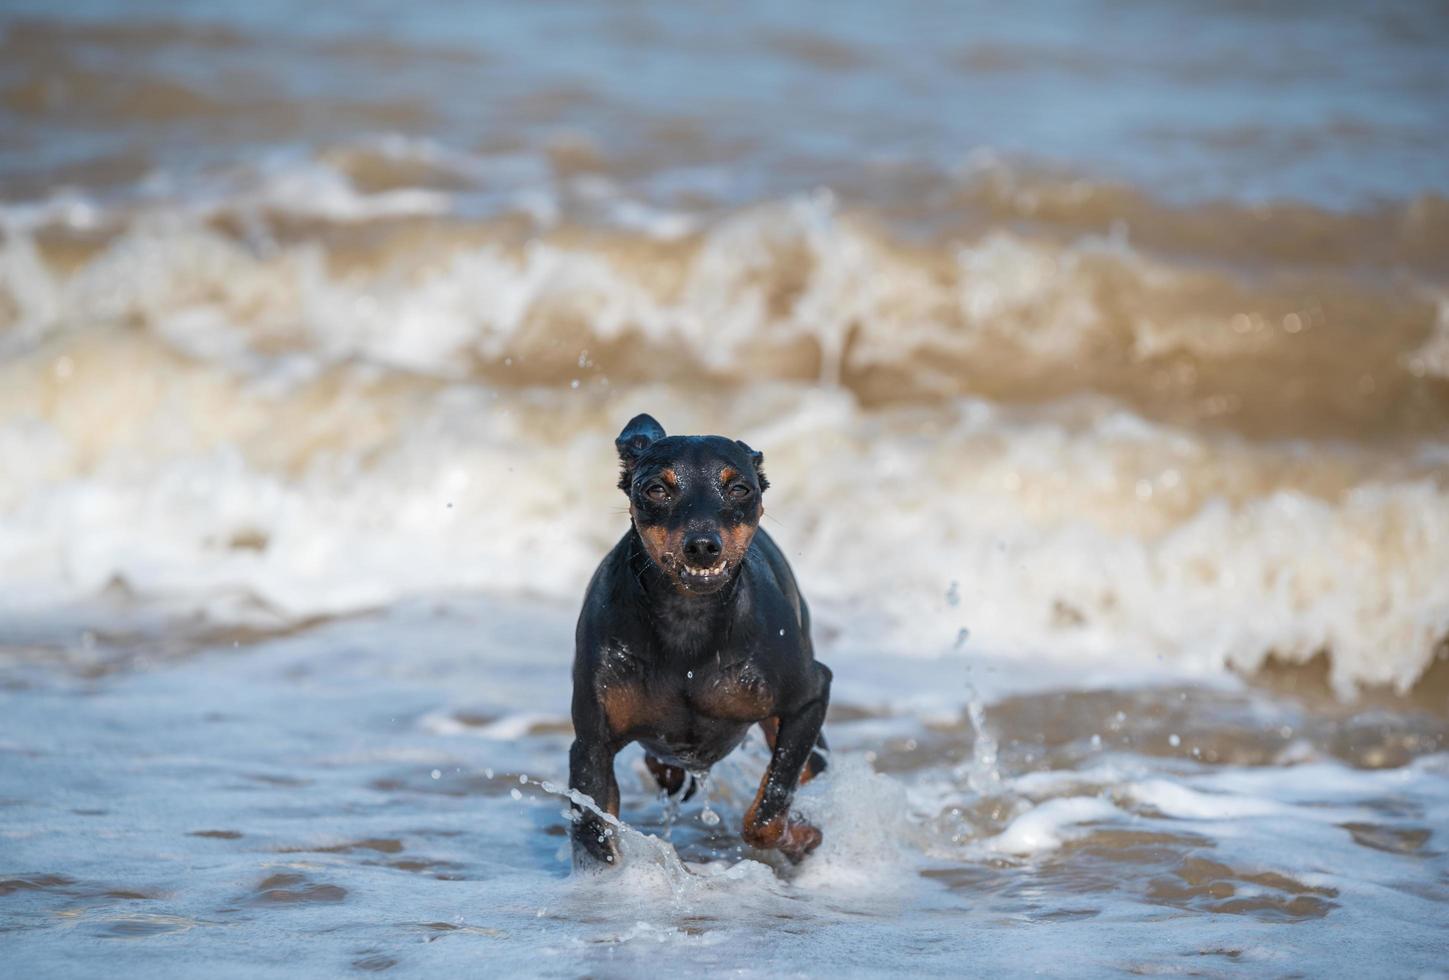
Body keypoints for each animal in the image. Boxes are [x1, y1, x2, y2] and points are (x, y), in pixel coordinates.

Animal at [570, 414, 834, 864]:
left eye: (739, 488)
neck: (688, 621)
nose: (703, 546)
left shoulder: (810, 696)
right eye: (656, 489)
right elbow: (594, 833)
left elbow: (767, 812)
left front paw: (801, 835)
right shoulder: (591, 745)